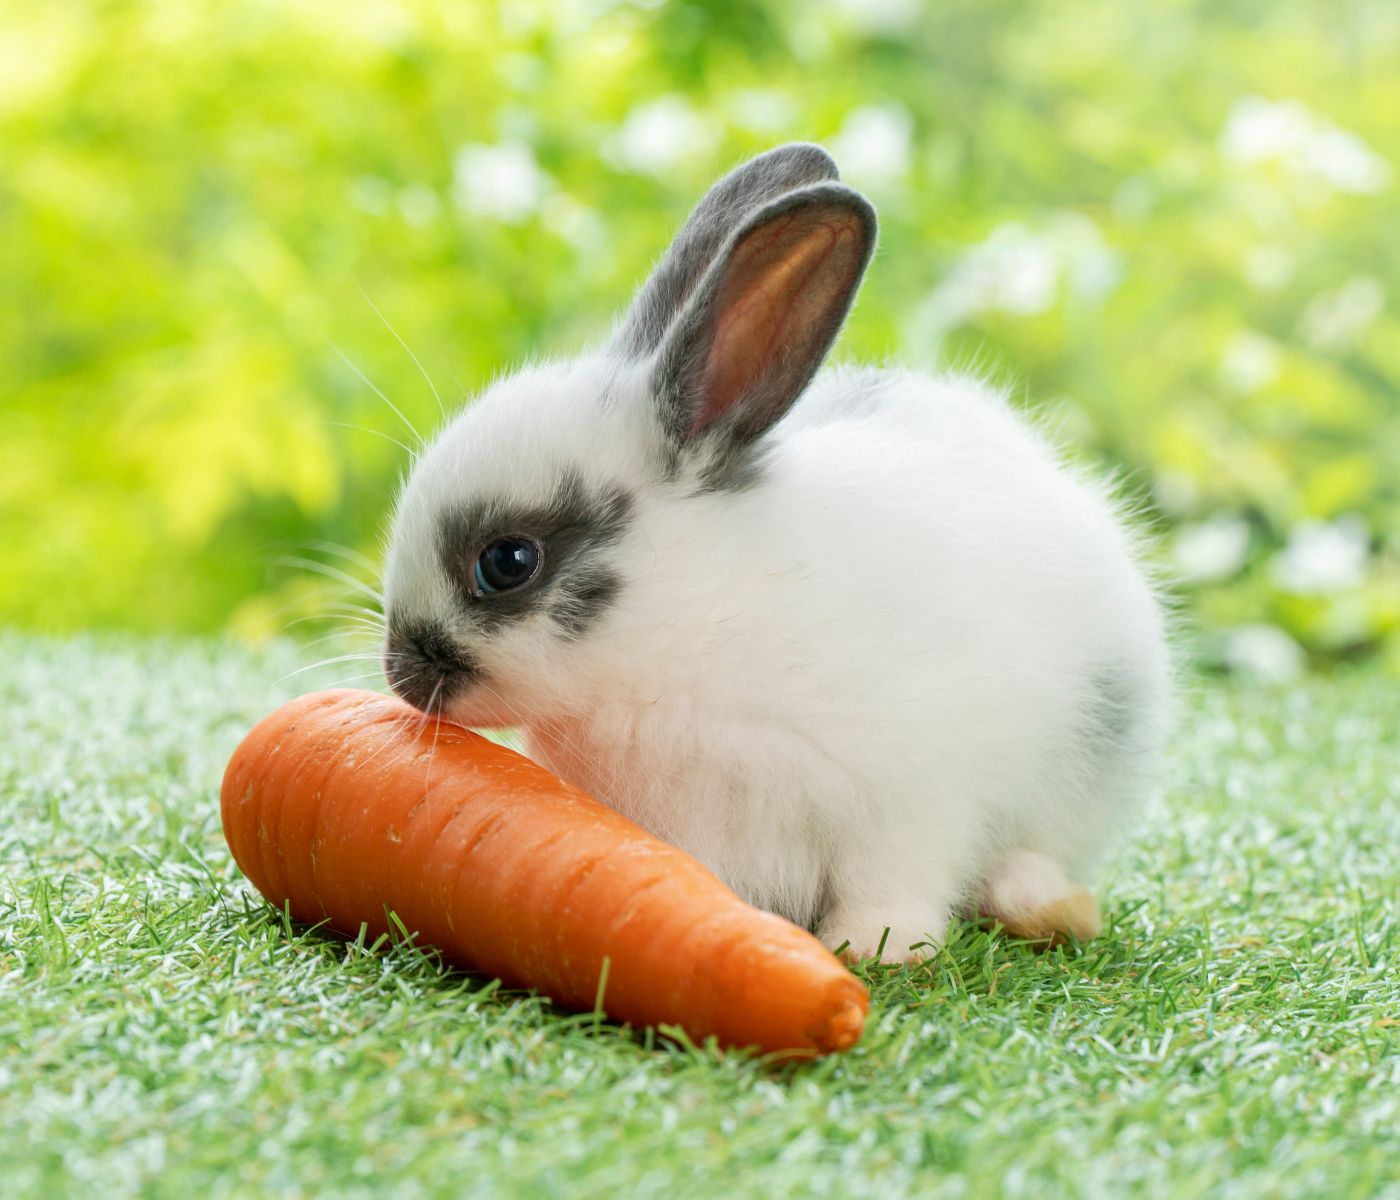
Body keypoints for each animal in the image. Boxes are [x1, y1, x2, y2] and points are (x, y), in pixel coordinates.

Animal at [379, 142, 1172, 962]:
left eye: (507, 562)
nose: (400, 675)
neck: (690, 633)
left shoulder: (908, 798)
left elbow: (894, 881)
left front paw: (875, 949)